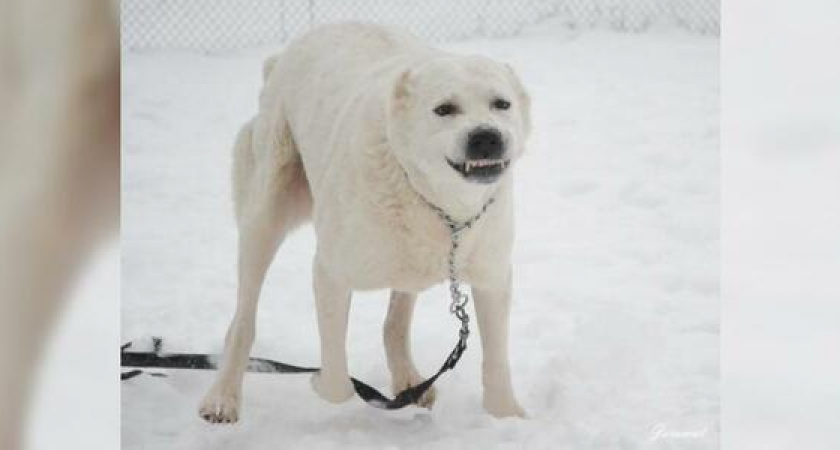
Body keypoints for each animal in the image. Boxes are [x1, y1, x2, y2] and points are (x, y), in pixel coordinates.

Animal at [199, 21, 532, 422]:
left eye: (502, 104)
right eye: (444, 109)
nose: (486, 137)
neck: (439, 204)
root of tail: (284, 54)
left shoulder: (493, 278)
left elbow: (497, 362)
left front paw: (506, 416)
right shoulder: (330, 274)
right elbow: (337, 384)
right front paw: (319, 381)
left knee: (394, 324)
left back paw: (409, 380)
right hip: (265, 213)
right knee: (242, 321)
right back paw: (222, 397)